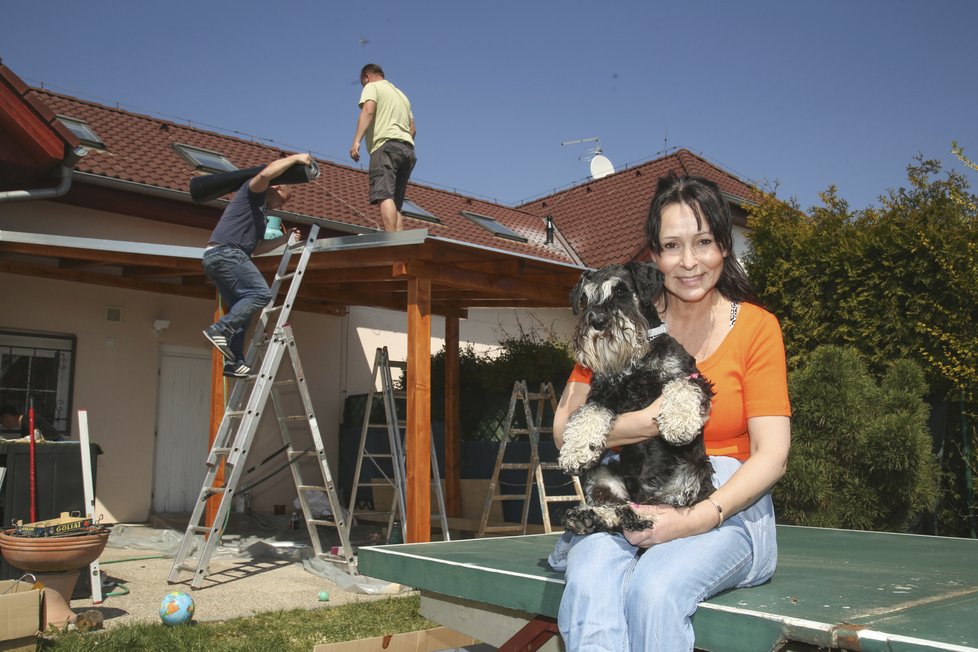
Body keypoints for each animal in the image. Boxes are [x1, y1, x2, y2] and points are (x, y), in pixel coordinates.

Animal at [556, 262, 716, 536]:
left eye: (621, 290)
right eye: (585, 298)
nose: (598, 321)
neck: (635, 360)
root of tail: (641, 493)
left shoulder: (691, 377)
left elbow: (681, 388)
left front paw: (679, 425)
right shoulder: (601, 395)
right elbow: (587, 415)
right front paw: (575, 452)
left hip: (694, 471)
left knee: (663, 504)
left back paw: (635, 514)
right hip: (602, 473)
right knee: (615, 507)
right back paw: (587, 517)